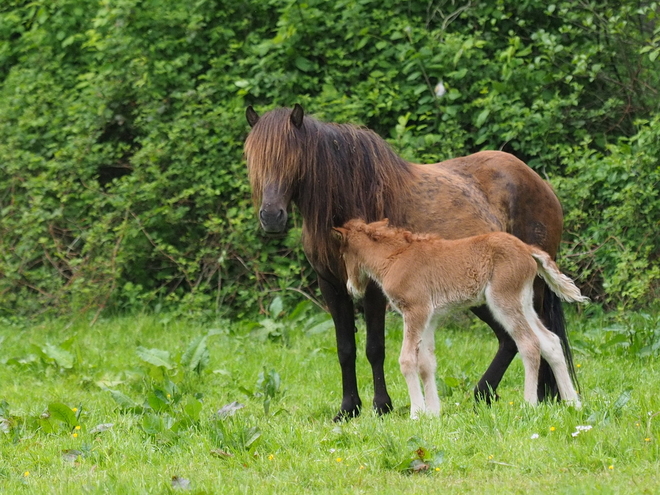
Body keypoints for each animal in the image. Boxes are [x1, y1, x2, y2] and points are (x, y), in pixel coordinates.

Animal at [336, 219, 588, 416]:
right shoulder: (430, 318)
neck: (395, 258)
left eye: (343, 254)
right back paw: (573, 403)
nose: (350, 289)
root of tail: (527, 248)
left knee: (529, 344)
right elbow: (426, 363)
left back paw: (529, 405)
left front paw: (417, 413)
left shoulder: (415, 311)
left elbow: (407, 360)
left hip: (504, 301)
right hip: (523, 302)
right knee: (550, 342)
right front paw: (433, 413)